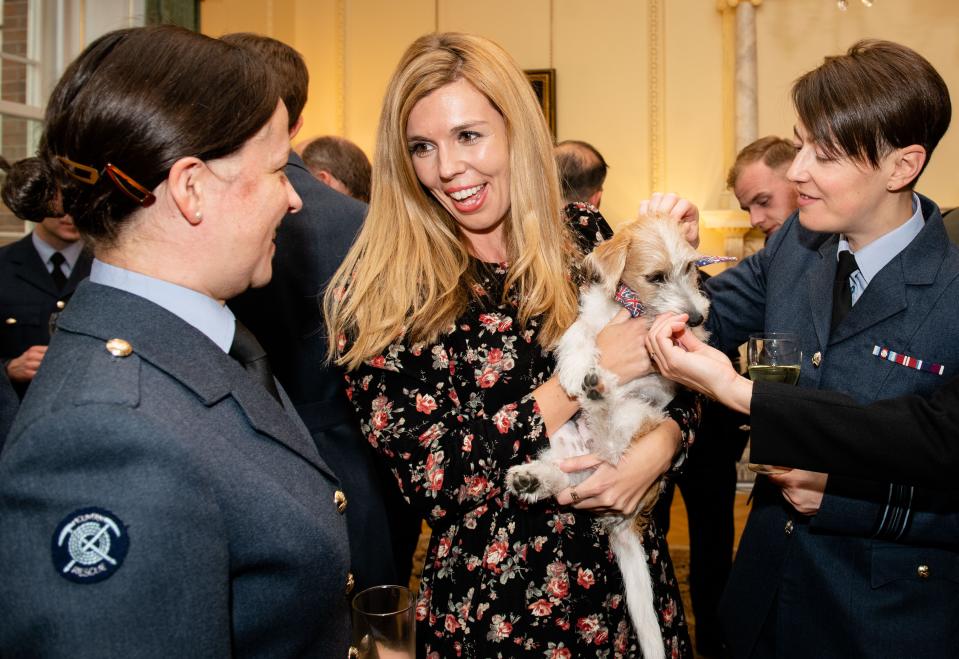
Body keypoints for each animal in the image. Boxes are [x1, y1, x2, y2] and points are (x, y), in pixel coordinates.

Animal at [510, 211, 712, 659]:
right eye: (656, 277)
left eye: (691, 268)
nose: (696, 319)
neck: (632, 308)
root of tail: (624, 523)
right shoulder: (591, 319)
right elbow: (580, 334)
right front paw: (573, 367)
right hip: (566, 440)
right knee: (566, 474)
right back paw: (532, 477)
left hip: (634, 418)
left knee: (610, 441)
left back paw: (598, 393)